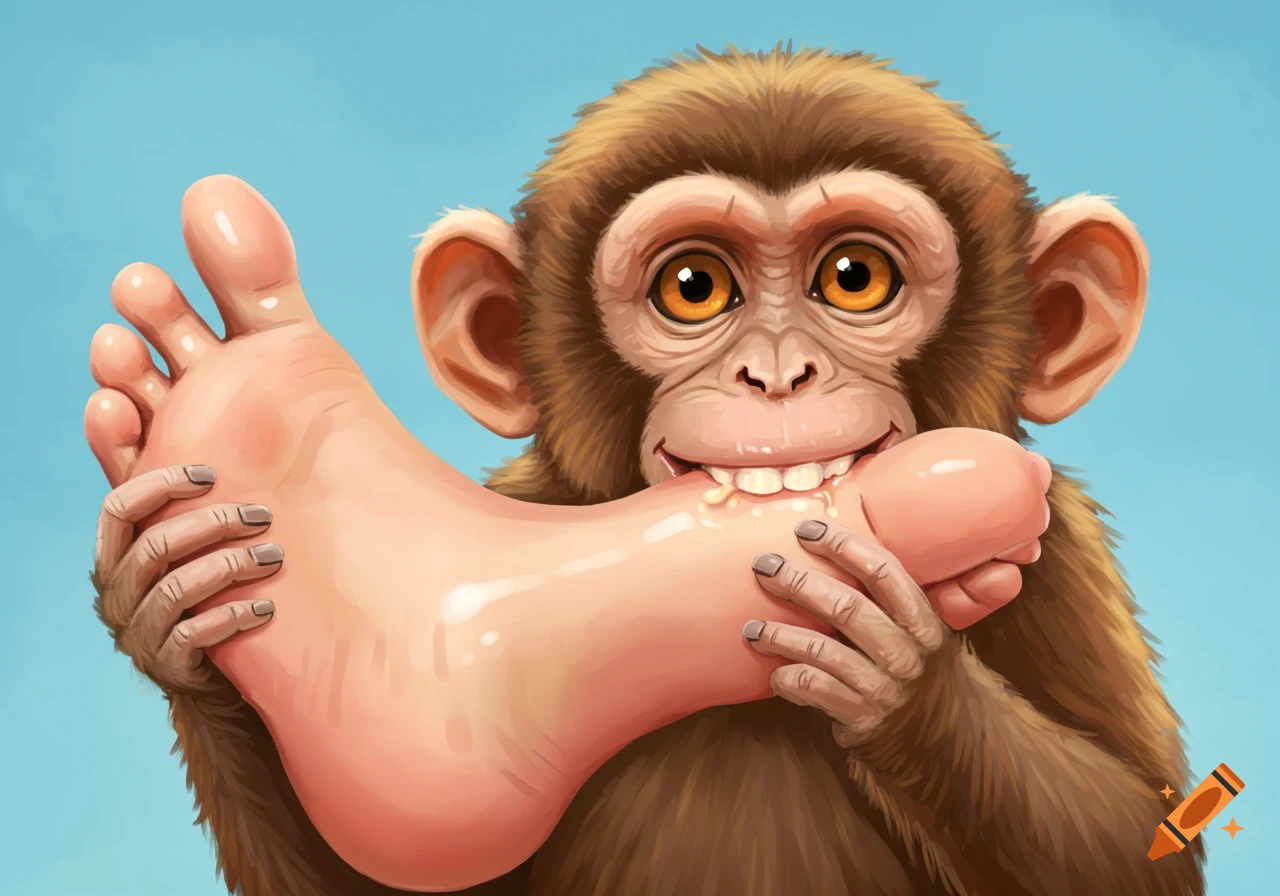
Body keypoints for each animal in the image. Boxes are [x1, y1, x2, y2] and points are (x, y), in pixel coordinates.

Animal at [86, 45, 1205, 896]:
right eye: (694, 287)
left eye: (854, 277)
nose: (777, 372)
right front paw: (170, 598)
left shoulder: (1066, 548)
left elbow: (1140, 843)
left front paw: (899, 672)